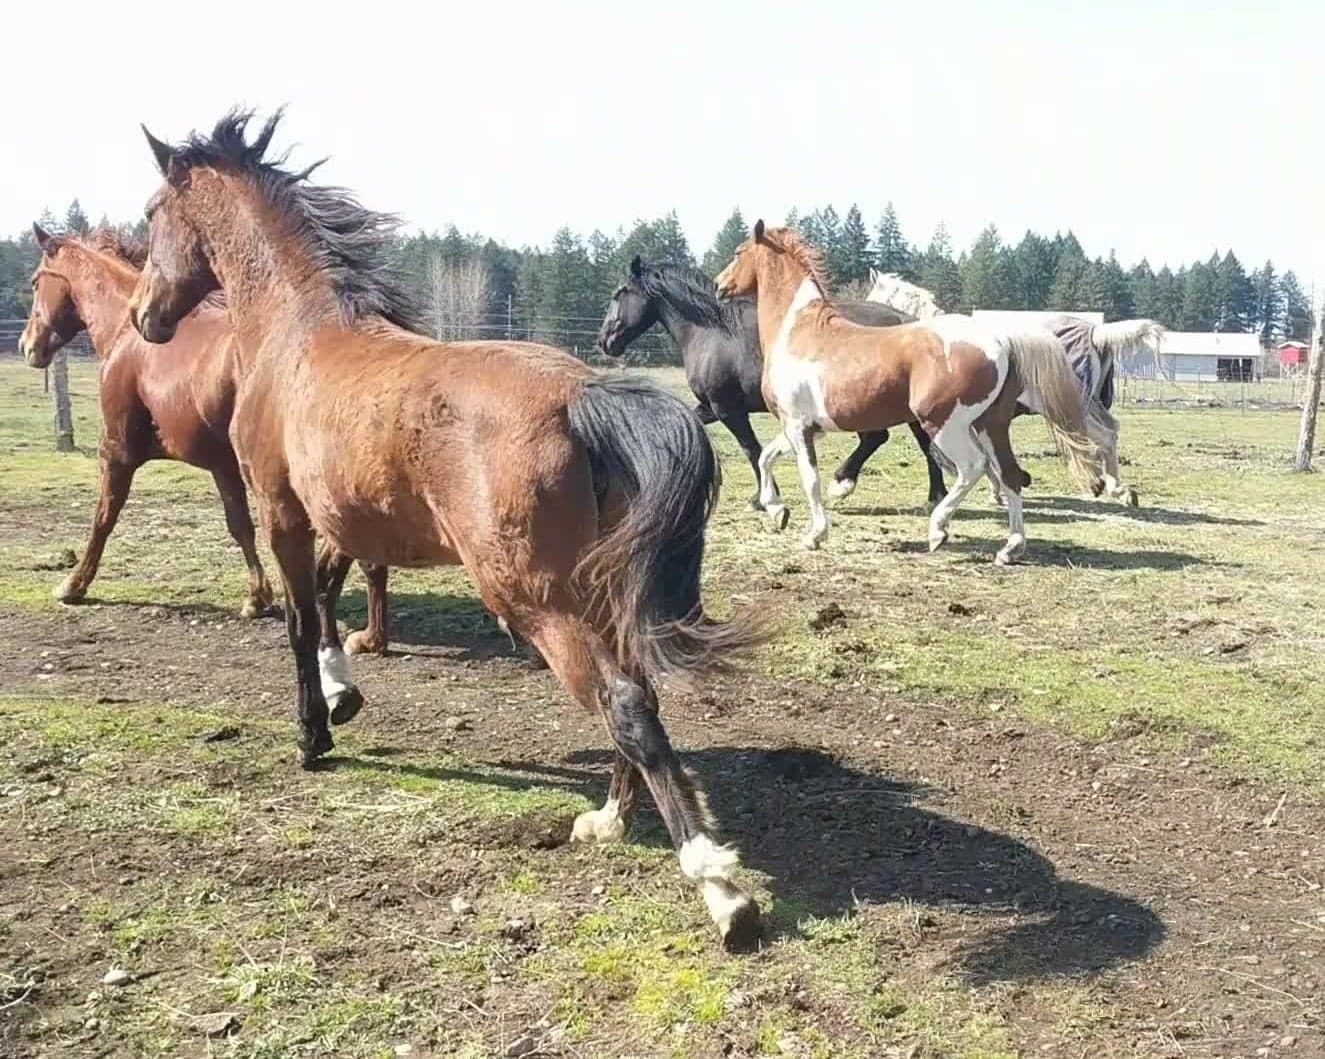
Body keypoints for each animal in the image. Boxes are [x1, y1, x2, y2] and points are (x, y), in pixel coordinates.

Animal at [16, 225, 393, 656]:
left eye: (35, 281)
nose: (27, 346)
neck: (128, 337)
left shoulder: (116, 452)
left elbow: (103, 518)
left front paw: (74, 585)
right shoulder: (221, 464)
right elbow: (240, 526)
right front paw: (258, 598)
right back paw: (371, 634)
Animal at [127, 110, 762, 949]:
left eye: (150, 215)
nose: (143, 317)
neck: (298, 336)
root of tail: (583, 394)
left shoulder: (282, 508)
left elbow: (298, 619)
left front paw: (313, 735)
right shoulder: (345, 514)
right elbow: (328, 596)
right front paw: (342, 692)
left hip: (534, 597)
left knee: (624, 701)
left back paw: (720, 889)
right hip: (597, 587)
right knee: (639, 693)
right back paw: (607, 819)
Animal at [596, 256, 947, 510]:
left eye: (618, 294)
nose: (604, 341)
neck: (713, 332)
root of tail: (907, 321)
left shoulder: (728, 408)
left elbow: (751, 448)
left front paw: (762, 499)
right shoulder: (710, 406)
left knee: (883, 438)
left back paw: (844, 484)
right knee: (915, 441)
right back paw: (934, 496)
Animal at [714, 222, 1097, 564]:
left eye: (738, 253)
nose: (718, 285)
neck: (798, 331)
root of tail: (1000, 340)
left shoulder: (798, 425)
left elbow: (809, 479)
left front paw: (813, 534)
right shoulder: (807, 427)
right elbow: (766, 457)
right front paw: (776, 511)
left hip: (945, 424)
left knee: (973, 467)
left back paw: (938, 531)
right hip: (991, 424)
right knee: (1009, 474)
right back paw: (1011, 548)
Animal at [866, 270, 1165, 507]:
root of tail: (1095, 333)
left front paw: (997, 491)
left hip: (1067, 407)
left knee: (1103, 435)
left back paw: (1113, 488)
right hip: (1089, 404)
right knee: (1110, 431)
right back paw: (1117, 488)